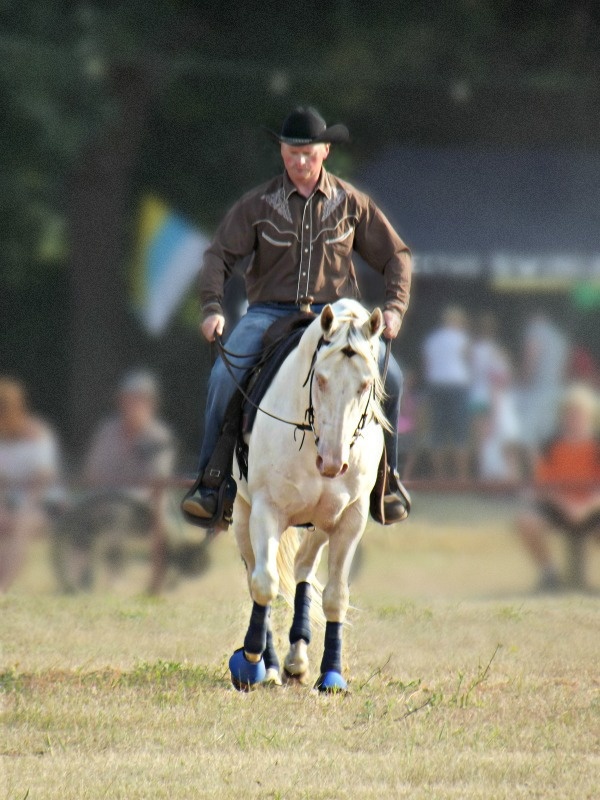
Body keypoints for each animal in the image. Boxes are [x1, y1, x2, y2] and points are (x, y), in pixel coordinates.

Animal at [228, 298, 390, 692]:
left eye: (366, 384)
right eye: (321, 378)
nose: (332, 462)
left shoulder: (349, 520)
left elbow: (335, 597)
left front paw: (331, 673)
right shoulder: (265, 511)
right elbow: (265, 583)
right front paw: (251, 661)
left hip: (319, 522)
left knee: (303, 566)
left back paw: (297, 659)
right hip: (243, 514)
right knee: (256, 573)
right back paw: (271, 664)